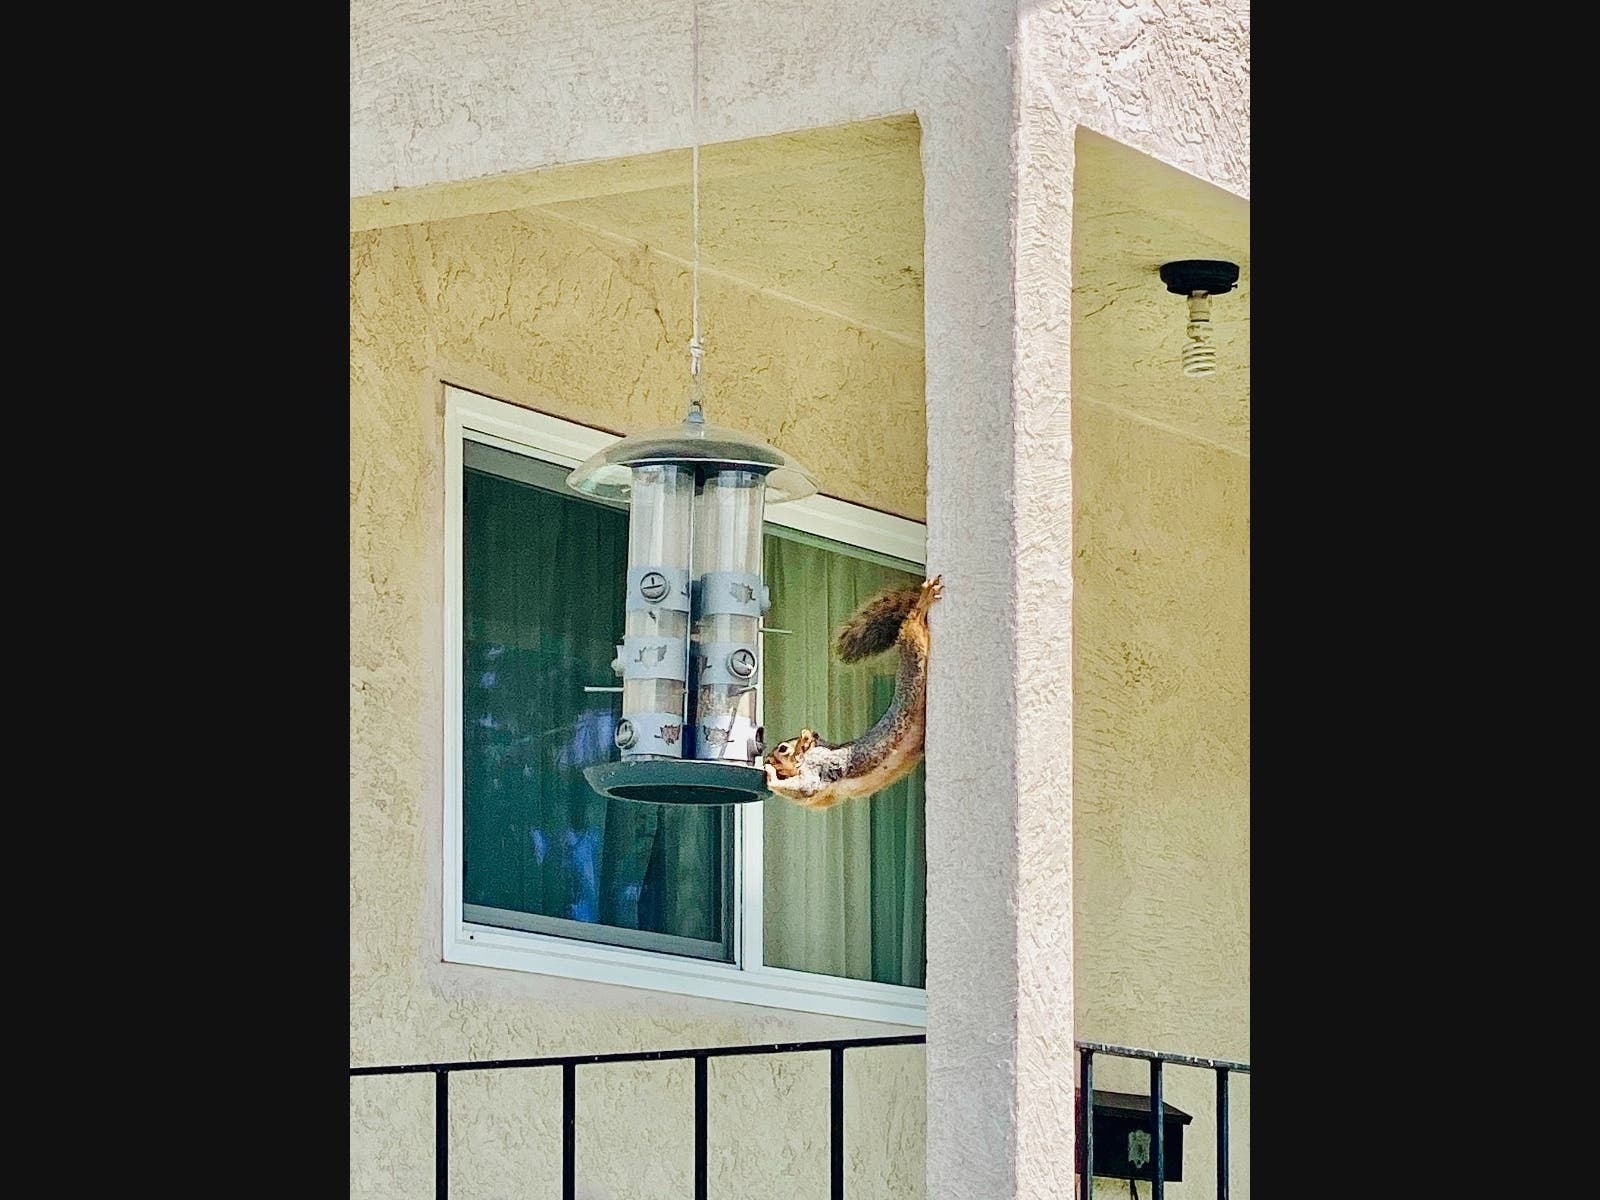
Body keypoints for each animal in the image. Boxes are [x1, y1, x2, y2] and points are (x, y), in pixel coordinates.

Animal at [762, 574, 943, 810]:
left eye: (783, 749)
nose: (766, 759)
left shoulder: (818, 768)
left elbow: (804, 787)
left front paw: (769, 774)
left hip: (914, 655)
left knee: (913, 624)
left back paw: (923, 602)